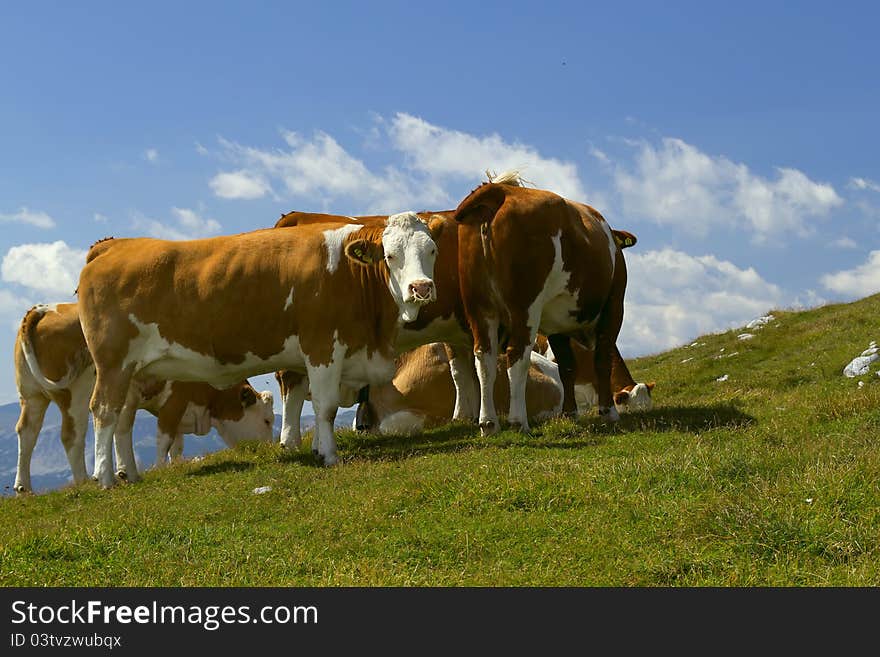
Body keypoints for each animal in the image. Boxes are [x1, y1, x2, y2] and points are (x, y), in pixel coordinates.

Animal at [12, 302, 276, 492]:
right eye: (267, 420)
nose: (270, 450)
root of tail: (46, 309)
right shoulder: (174, 402)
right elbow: (164, 439)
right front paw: (160, 469)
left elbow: (175, 444)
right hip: (75, 394)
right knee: (72, 435)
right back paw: (84, 480)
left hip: (32, 396)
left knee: (27, 431)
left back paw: (24, 486)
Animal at [74, 211, 438, 486]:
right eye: (390, 256)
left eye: (432, 251)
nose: (421, 288)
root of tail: (114, 246)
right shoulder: (322, 345)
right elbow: (326, 406)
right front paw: (331, 456)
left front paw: (318, 449)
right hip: (112, 364)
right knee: (103, 411)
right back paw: (105, 478)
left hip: (132, 372)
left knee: (123, 419)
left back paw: (130, 474)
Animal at [454, 172, 632, 434]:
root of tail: (503, 191)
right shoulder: (614, 306)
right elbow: (601, 361)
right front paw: (608, 412)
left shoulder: (557, 324)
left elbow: (567, 367)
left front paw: (570, 413)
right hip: (525, 307)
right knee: (517, 354)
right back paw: (519, 421)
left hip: (479, 307)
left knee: (484, 356)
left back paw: (489, 423)